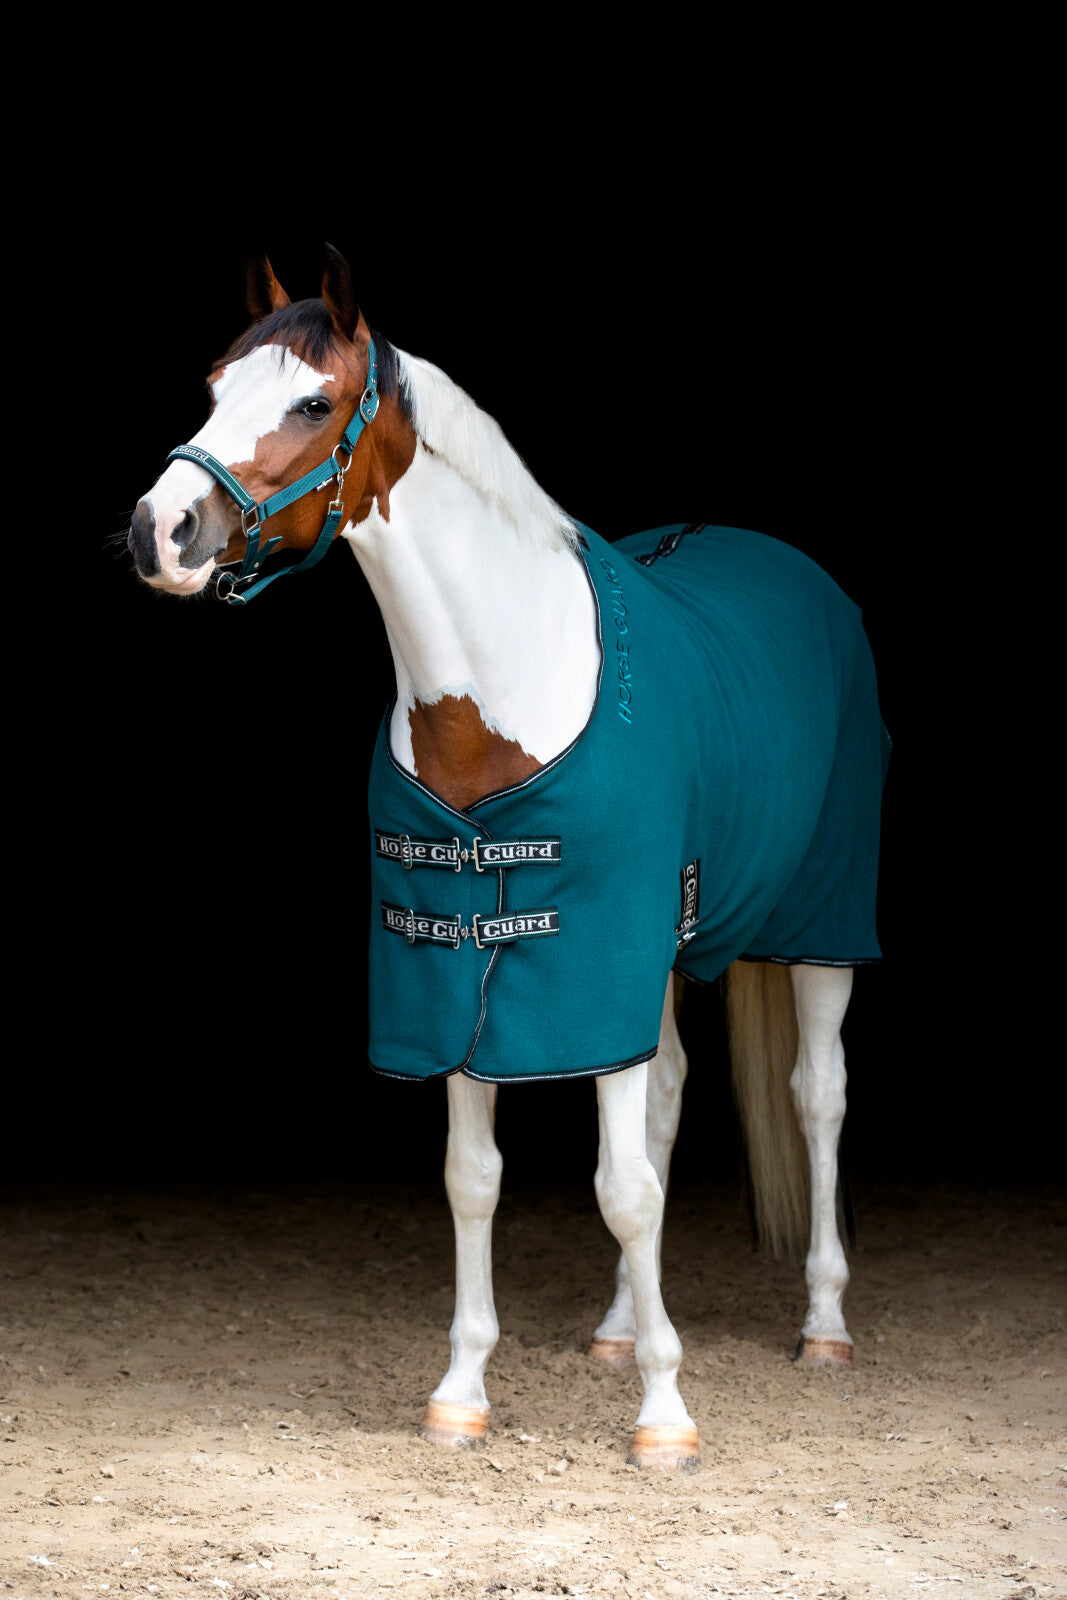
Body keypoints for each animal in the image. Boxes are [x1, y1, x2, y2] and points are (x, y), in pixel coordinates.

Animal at [127, 246, 888, 1472]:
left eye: (313, 403)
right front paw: (461, 1393)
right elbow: (476, 1181)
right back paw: (621, 1327)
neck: (500, 695)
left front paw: (665, 1419)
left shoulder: (588, 961)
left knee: (817, 1097)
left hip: (818, 928)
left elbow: (623, 1188)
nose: (164, 531)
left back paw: (822, 1324)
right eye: (212, 388)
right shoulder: (460, 976)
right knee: (664, 1094)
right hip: (653, 961)